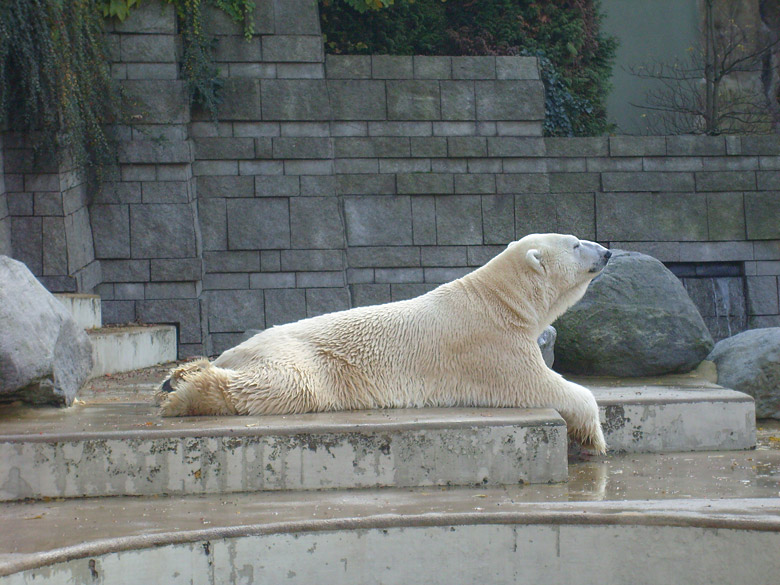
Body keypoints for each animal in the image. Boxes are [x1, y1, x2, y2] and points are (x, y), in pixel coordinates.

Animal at [157, 233, 608, 452]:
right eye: (575, 243)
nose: (606, 251)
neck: (496, 299)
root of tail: (240, 349)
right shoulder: (493, 346)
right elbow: (543, 385)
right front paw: (593, 439)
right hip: (307, 359)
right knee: (288, 385)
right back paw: (185, 395)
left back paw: (179, 374)